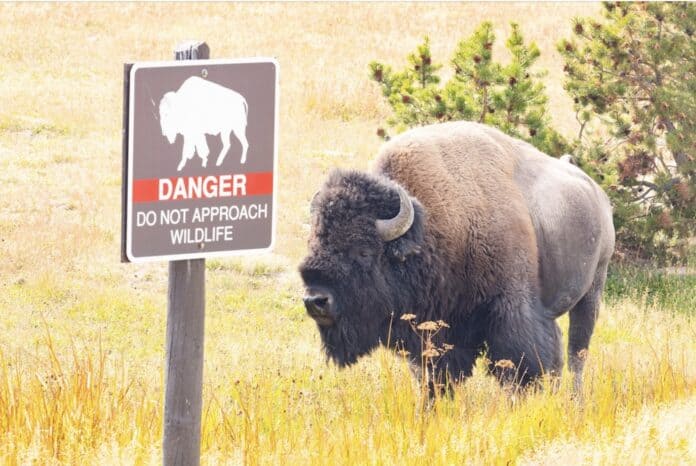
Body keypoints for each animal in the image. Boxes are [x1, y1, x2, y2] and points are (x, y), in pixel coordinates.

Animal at [299, 121, 614, 390]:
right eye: (314, 243)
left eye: (364, 251)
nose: (316, 300)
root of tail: (597, 194)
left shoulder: (510, 310)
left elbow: (520, 364)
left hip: (592, 291)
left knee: (576, 353)